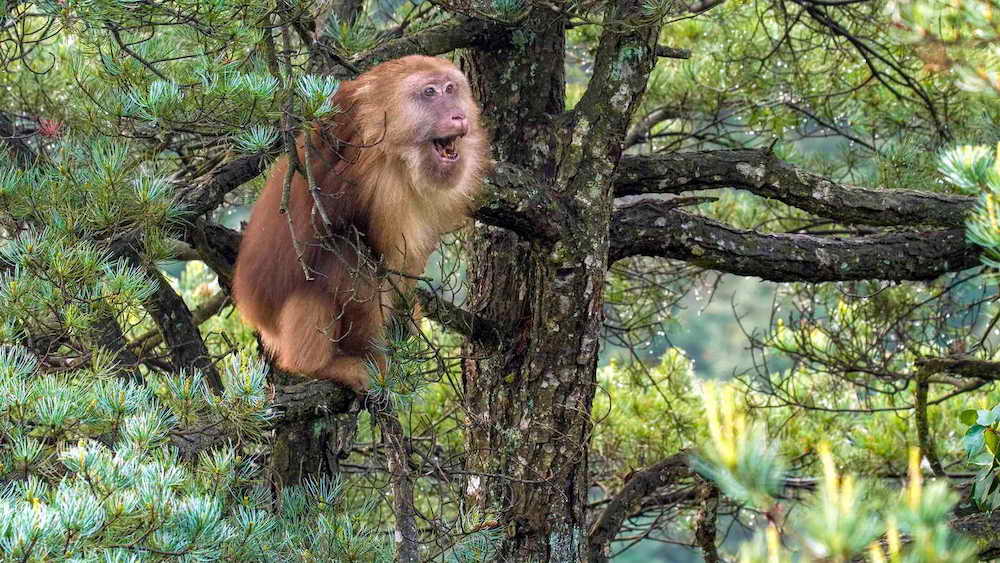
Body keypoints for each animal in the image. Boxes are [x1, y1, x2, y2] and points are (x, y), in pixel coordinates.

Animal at [231, 56, 488, 392]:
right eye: (430, 92)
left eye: (451, 88)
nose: (458, 115)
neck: (396, 154)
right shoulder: (378, 181)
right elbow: (366, 265)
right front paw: (374, 360)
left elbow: (408, 257)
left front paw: (404, 318)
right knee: (343, 255)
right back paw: (315, 365)